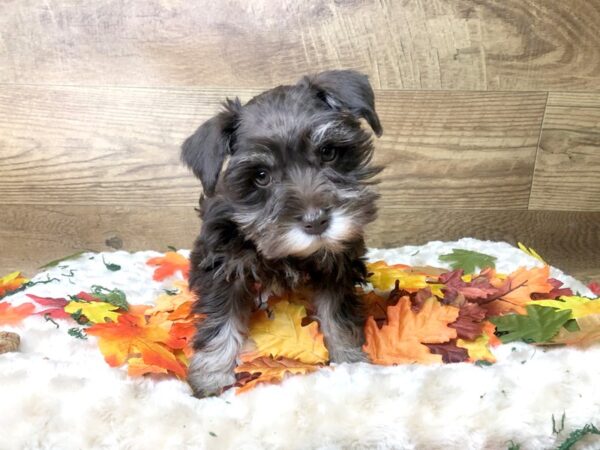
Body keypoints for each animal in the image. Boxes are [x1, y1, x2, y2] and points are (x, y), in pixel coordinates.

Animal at [180, 70, 382, 398]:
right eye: (261, 176)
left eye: (328, 152)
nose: (316, 222)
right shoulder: (224, 270)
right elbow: (221, 321)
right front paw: (210, 375)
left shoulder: (337, 265)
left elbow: (336, 315)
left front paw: (350, 358)